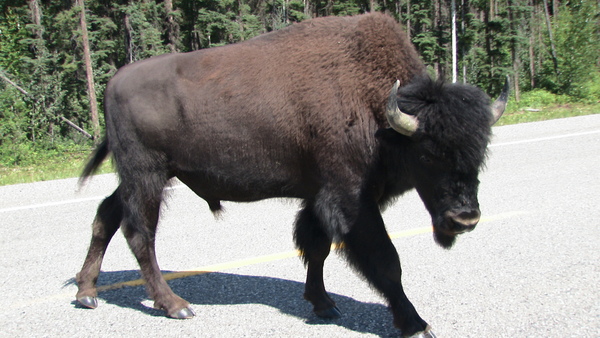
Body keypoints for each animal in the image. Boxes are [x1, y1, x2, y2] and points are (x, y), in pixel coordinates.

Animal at [75, 11, 506, 336]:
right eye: (429, 154)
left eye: (481, 150)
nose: (465, 218)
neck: (382, 116)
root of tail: (113, 82)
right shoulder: (351, 197)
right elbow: (386, 260)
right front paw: (416, 324)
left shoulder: (317, 196)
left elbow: (315, 246)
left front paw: (323, 304)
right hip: (147, 175)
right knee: (139, 234)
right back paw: (174, 305)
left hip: (143, 178)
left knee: (106, 216)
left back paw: (86, 293)